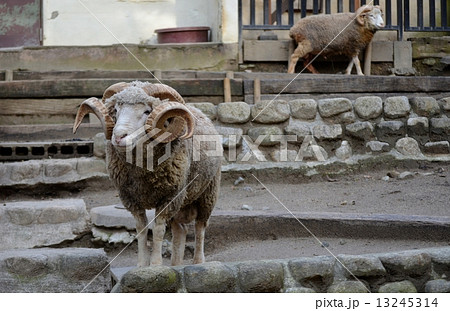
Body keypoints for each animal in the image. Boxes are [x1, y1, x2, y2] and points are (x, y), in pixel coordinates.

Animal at [73, 81, 222, 266]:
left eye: (146, 111)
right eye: (116, 110)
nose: (119, 136)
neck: (142, 173)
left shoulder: (169, 197)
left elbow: (158, 230)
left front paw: (156, 264)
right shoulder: (131, 199)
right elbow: (141, 229)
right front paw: (142, 264)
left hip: (208, 192)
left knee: (200, 226)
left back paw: (198, 262)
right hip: (183, 201)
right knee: (180, 229)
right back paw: (176, 264)